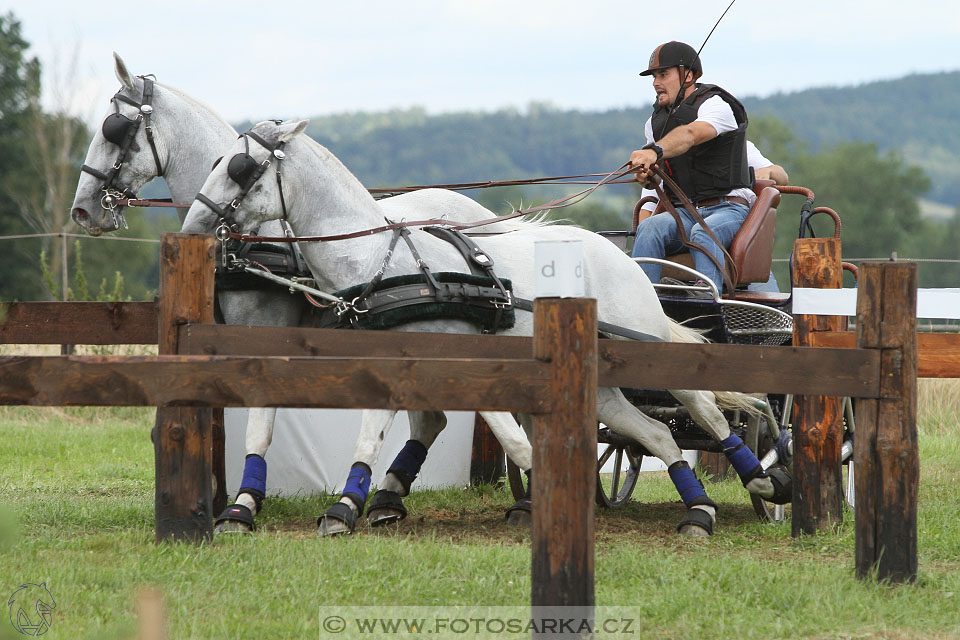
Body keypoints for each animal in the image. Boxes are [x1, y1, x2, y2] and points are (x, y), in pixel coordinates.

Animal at [71, 53, 536, 536]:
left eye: (112, 127)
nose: (82, 210)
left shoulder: (264, 332)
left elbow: (260, 421)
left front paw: (244, 503)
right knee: (432, 417)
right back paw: (387, 498)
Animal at [184, 119, 792, 536]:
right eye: (216, 160)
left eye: (239, 169)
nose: (193, 225)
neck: (384, 260)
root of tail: (624, 258)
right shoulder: (390, 360)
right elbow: (373, 432)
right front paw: (346, 506)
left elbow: (511, 440)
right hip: (603, 384)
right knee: (655, 432)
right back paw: (700, 508)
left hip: (647, 346)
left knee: (704, 408)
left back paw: (763, 481)